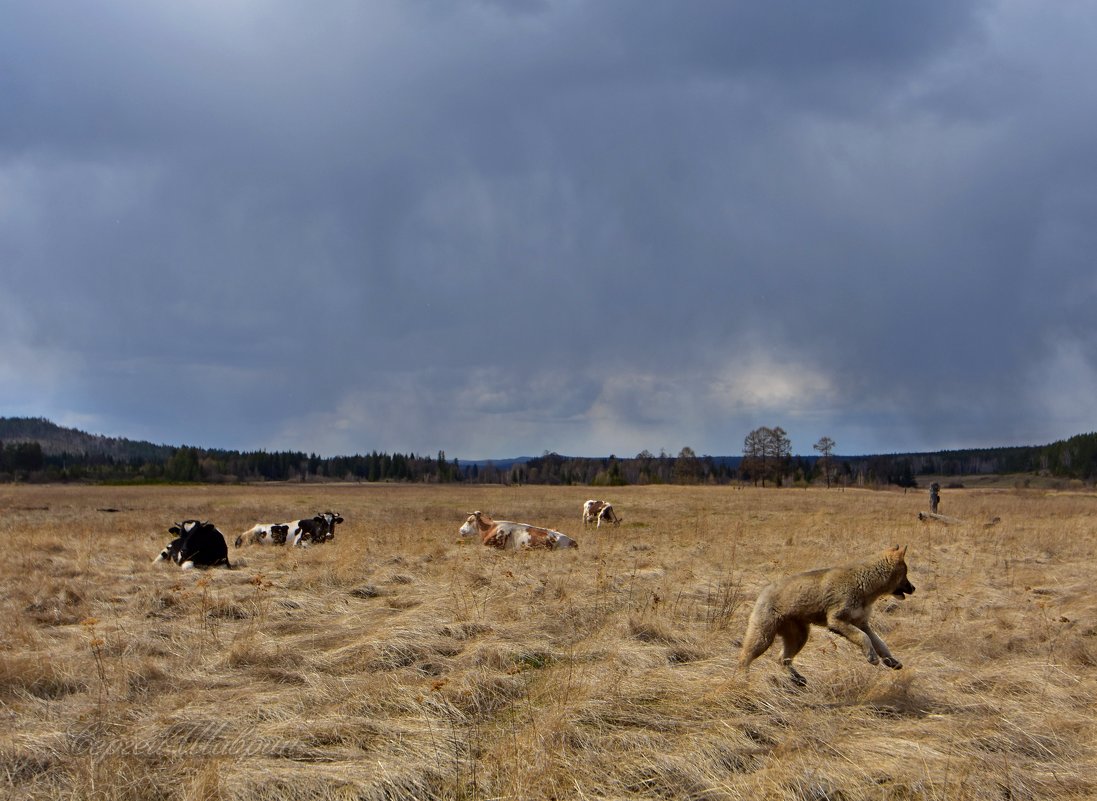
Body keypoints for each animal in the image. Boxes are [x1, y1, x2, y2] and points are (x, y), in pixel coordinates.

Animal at [737, 546, 917, 684]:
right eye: (906, 574)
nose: (914, 588)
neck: (864, 584)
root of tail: (763, 591)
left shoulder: (862, 624)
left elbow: (880, 644)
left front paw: (891, 661)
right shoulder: (837, 621)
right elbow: (863, 638)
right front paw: (871, 657)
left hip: (799, 637)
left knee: (782, 659)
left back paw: (797, 679)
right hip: (763, 639)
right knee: (744, 658)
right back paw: (742, 681)